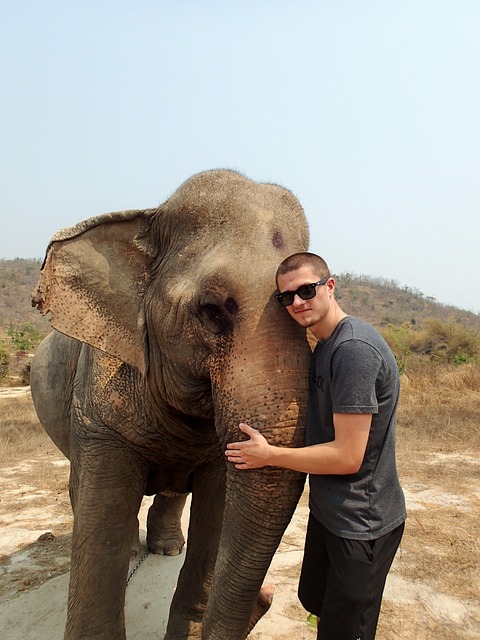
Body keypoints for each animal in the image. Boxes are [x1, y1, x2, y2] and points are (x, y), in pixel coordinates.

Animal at [30, 168, 312, 636]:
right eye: (213, 311)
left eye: (305, 309)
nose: (267, 595)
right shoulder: (99, 410)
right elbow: (102, 514)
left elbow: (218, 510)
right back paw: (133, 552)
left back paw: (165, 550)